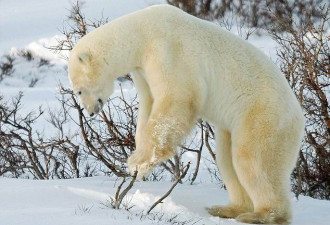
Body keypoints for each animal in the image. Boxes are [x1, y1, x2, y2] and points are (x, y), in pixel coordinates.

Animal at [68, 3, 306, 225]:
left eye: (79, 90)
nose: (90, 112)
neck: (142, 33)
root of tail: (299, 116)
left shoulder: (167, 50)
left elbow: (177, 97)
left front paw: (139, 163)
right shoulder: (142, 70)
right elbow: (149, 105)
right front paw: (137, 157)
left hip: (262, 115)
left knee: (253, 159)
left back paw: (262, 214)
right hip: (235, 126)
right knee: (226, 158)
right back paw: (227, 209)